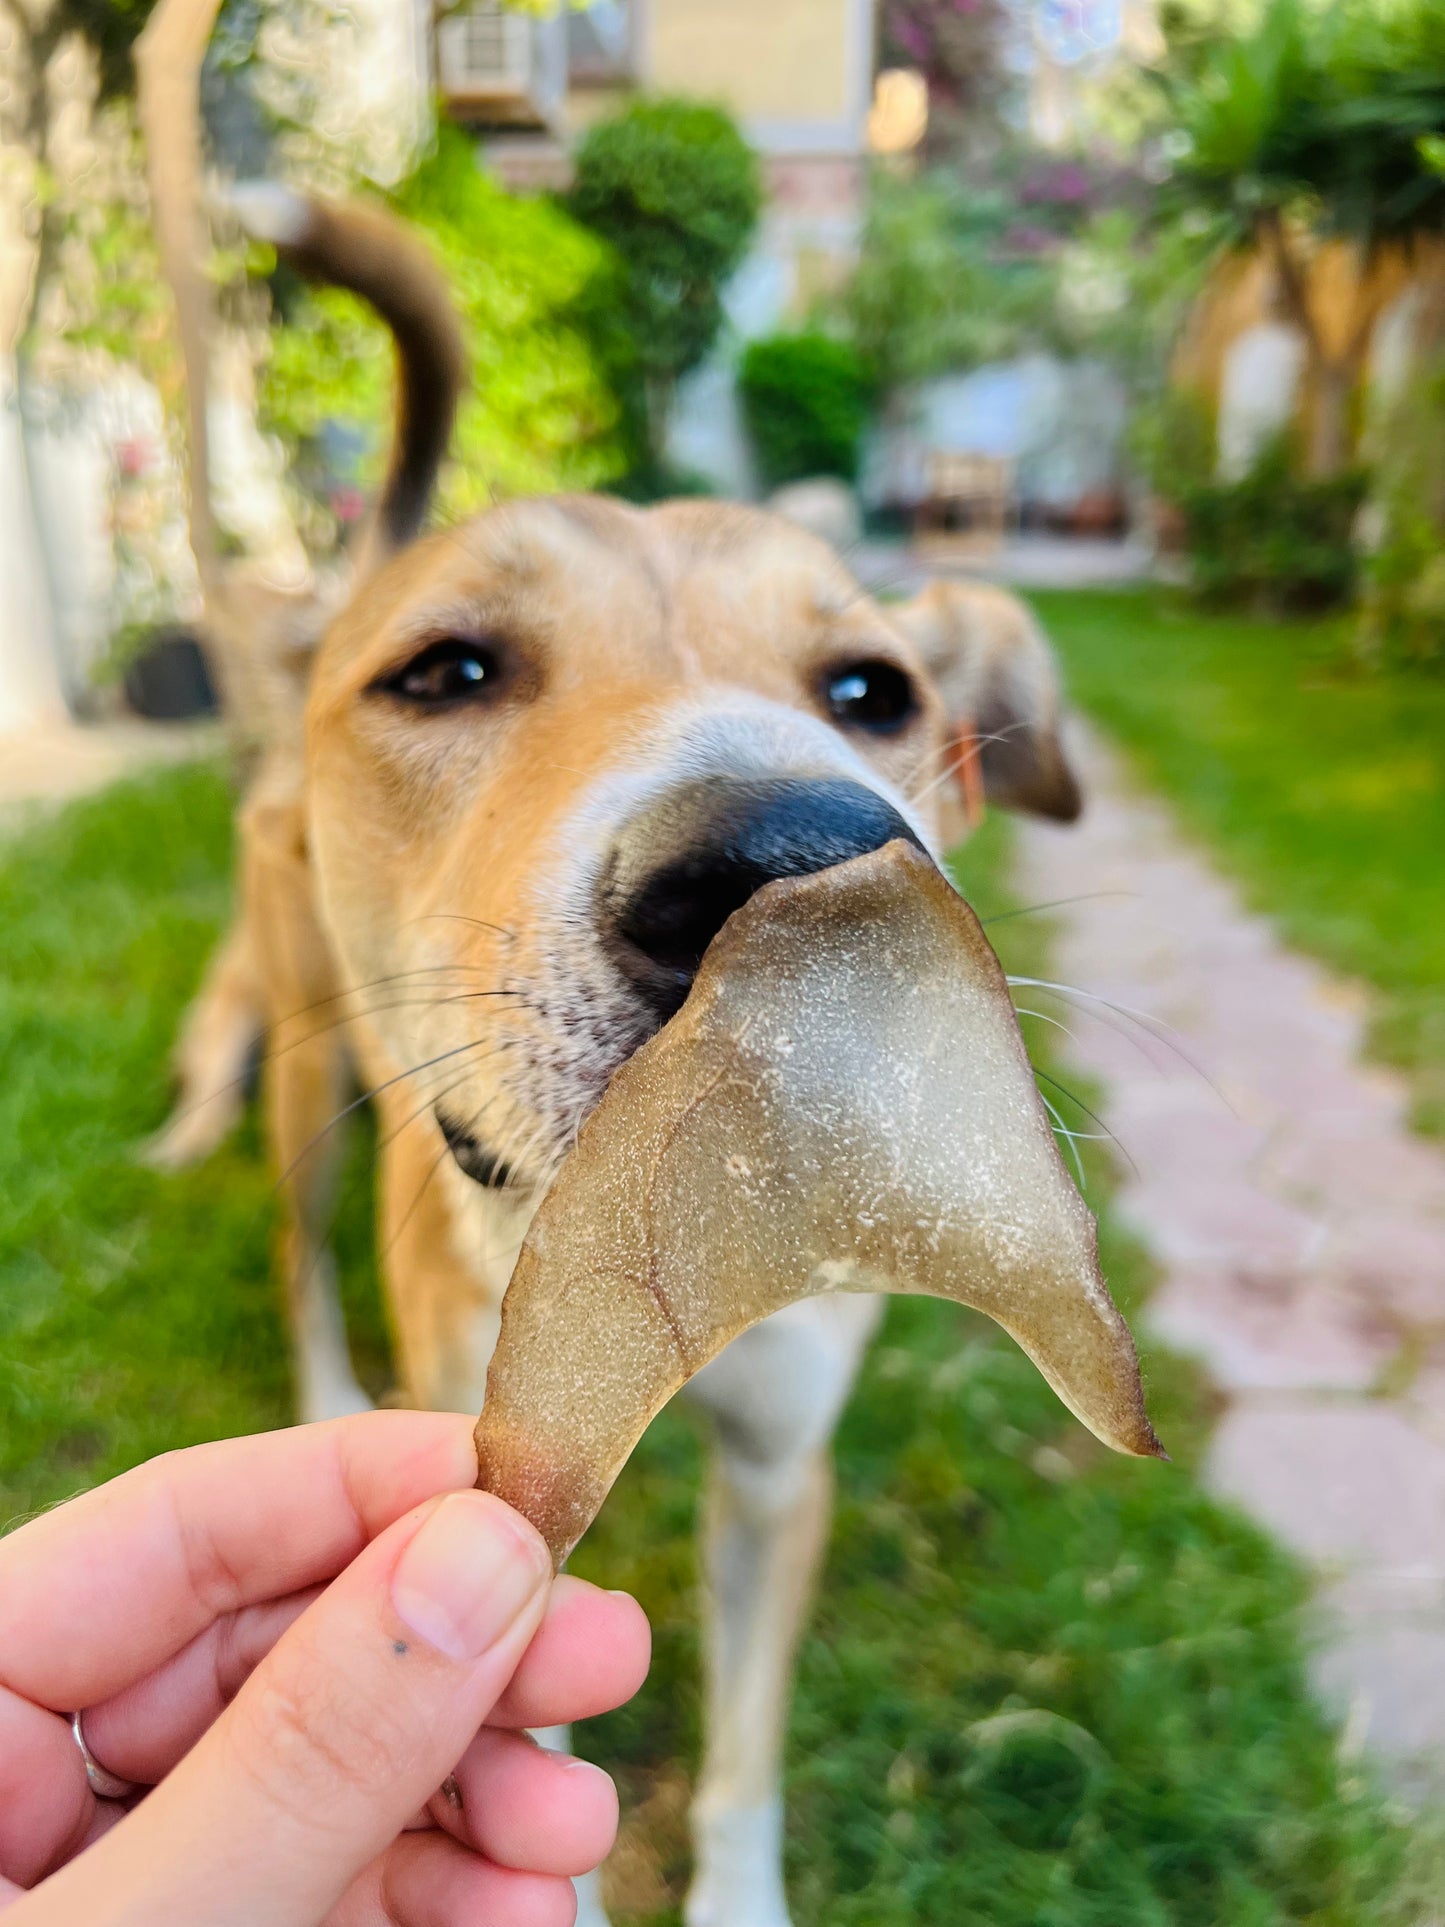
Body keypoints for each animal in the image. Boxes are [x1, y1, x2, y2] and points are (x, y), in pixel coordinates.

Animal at [157, 187, 1086, 1919]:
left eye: (873, 690)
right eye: (448, 669)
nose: (789, 873)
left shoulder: (780, 1469)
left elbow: (739, 1758)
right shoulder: (497, 1481)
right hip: (311, 1074)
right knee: (294, 1237)